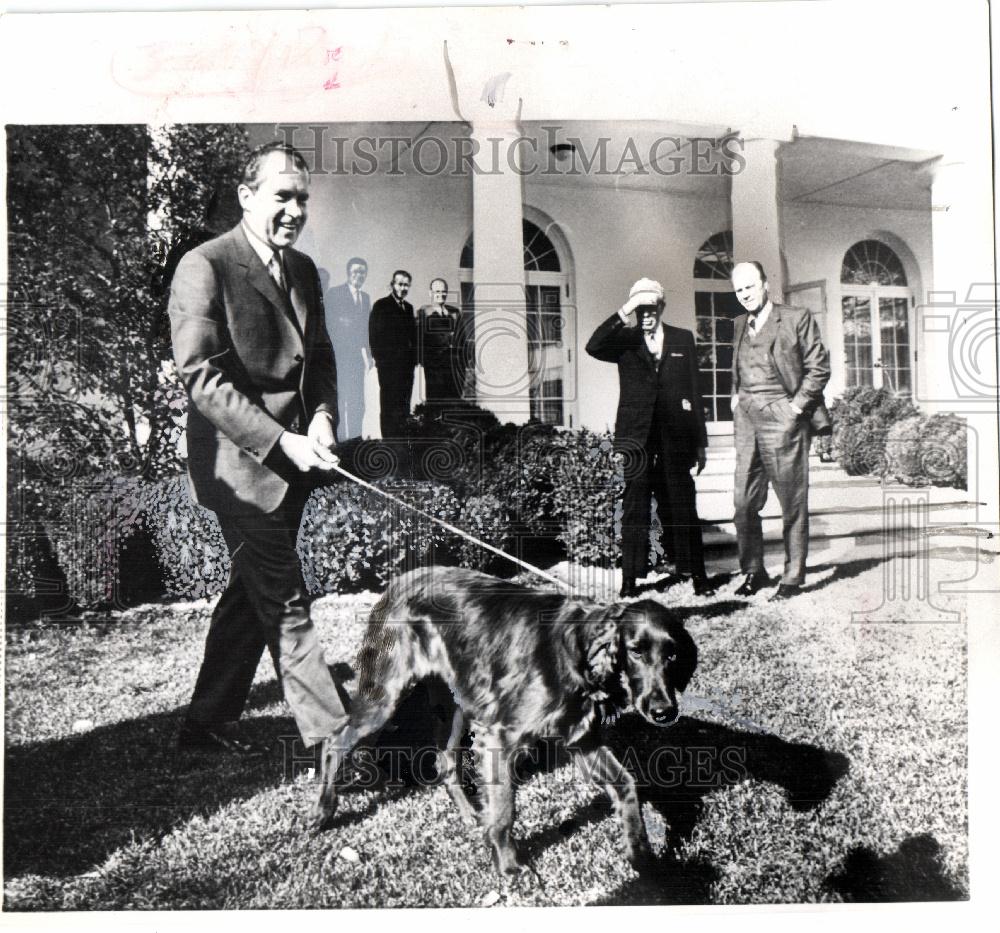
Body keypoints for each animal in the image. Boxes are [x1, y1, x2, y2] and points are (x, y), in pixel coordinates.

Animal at [312, 564, 696, 876]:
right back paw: (323, 813)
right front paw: (509, 865)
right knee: (335, 741)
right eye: (636, 651)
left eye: (672, 654)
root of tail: (398, 581)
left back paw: (469, 815)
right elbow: (505, 811)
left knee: (444, 760)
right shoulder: (500, 737)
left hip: (453, 705)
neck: (579, 652)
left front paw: (641, 856)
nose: (664, 711)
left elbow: (627, 784)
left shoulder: (582, 739)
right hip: (387, 696)